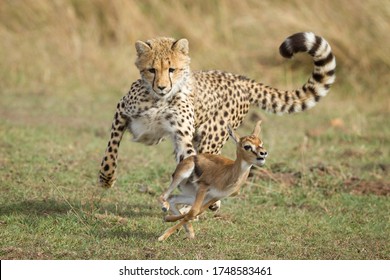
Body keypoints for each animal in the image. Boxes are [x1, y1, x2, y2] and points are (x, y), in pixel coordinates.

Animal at [97, 32, 336, 188]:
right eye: (152, 70)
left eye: (172, 69)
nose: (163, 87)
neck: (159, 99)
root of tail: (240, 78)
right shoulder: (122, 111)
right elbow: (111, 148)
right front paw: (106, 178)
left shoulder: (182, 136)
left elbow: (190, 161)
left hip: (213, 136)